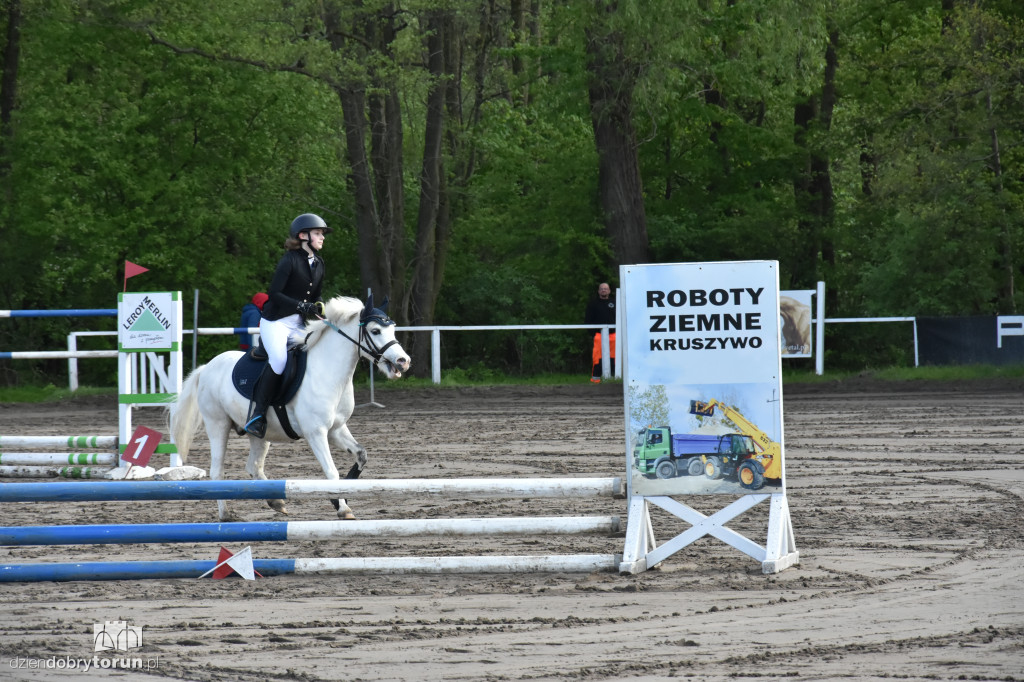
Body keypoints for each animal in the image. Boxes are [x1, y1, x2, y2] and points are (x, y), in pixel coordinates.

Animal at [167, 292, 407, 520]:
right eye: (375, 331)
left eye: (393, 329)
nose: (404, 361)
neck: (328, 371)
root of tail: (207, 367)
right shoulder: (316, 433)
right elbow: (331, 472)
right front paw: (343, 509)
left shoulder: (336, 429)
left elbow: (361, 456)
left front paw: (338, 499)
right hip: (218, 425)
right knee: (217, 471)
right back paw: (226, 515)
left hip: (259, 433)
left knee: (254, 466)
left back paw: (276, 501)